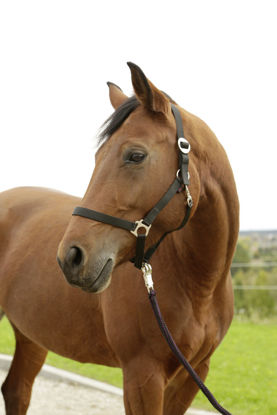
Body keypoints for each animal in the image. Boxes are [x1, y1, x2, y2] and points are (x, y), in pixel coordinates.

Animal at [0, 62, 237, 415]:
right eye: (98, 157)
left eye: (135, 155)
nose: (71, 257)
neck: (200, 286)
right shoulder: (142, 376)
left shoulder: (192, 377)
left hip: (31, 334)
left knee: (17, 390)